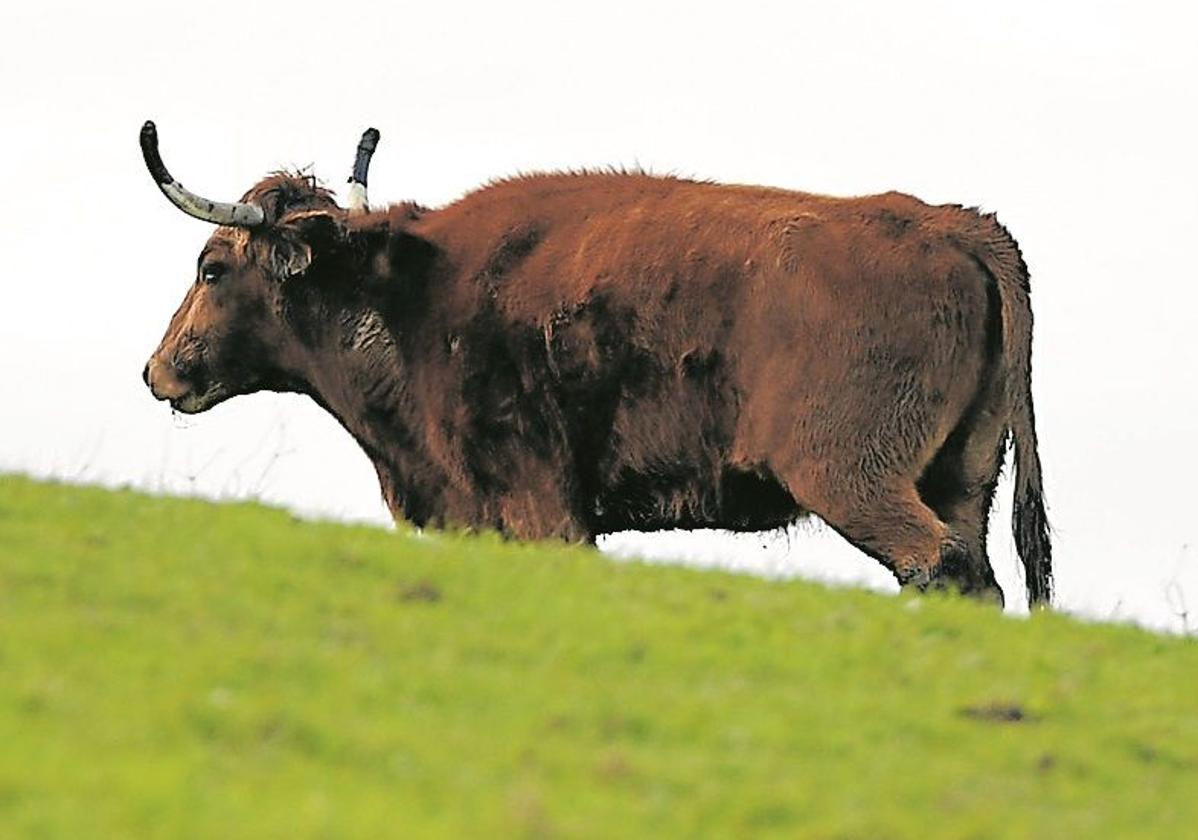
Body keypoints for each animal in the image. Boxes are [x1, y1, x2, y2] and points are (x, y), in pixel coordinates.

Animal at [140, 119, 1054, 603]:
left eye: (211, 268)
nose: (158, 370)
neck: (413, 288)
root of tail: (958, 224)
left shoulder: (543, 508)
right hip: (961, 478)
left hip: (853, 479)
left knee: (937, 564)